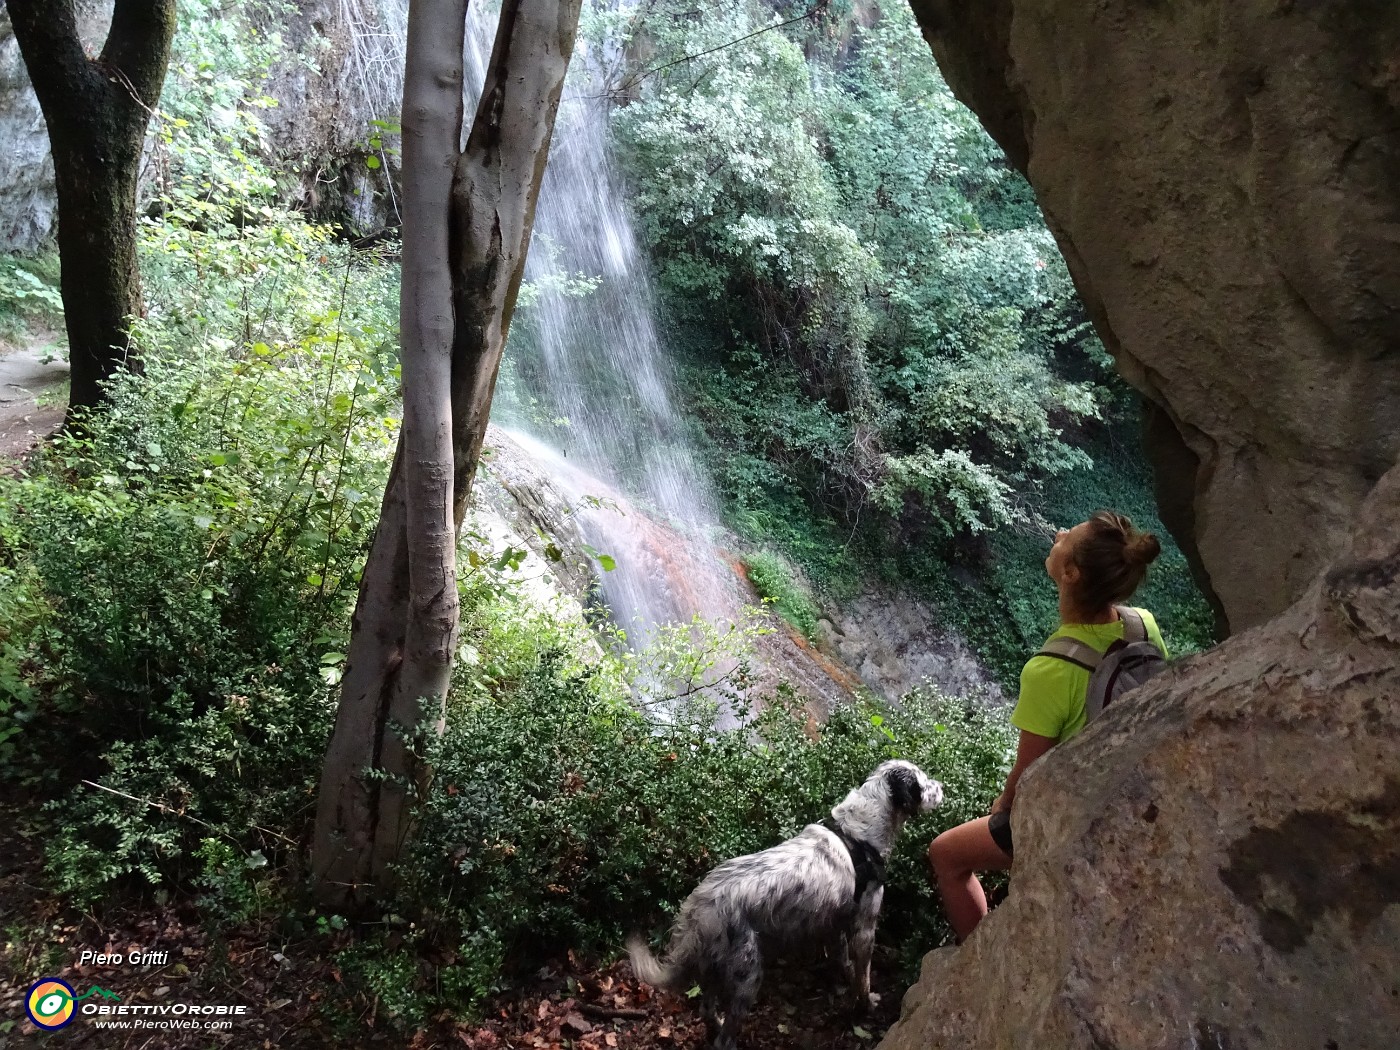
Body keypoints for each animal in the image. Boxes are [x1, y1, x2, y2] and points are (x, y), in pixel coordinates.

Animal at [632, 767, 940, 1050]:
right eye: (923, 782)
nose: (942, 786)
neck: (857, 834)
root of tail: (703, 902)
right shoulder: (864, 930)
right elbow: (862, 979)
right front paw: (865, 1006)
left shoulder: (835, 925)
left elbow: (844, 963)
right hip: (747, 977)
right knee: (724, 1040)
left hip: (714, 968)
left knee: (707, 1010)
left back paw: (715, 1024)